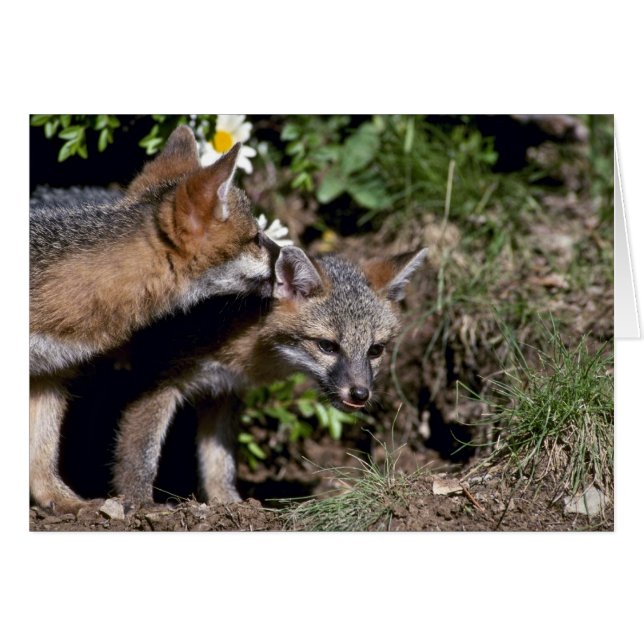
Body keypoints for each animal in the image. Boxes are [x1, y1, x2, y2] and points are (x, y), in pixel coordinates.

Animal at [112, 244, 427, 506]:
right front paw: (137, 504)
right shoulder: (156, 381)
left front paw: (227, 503)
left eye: (375, 350)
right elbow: (141, 453)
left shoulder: (222, 391)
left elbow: (218, 461)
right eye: (327, 346)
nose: (360, 394)